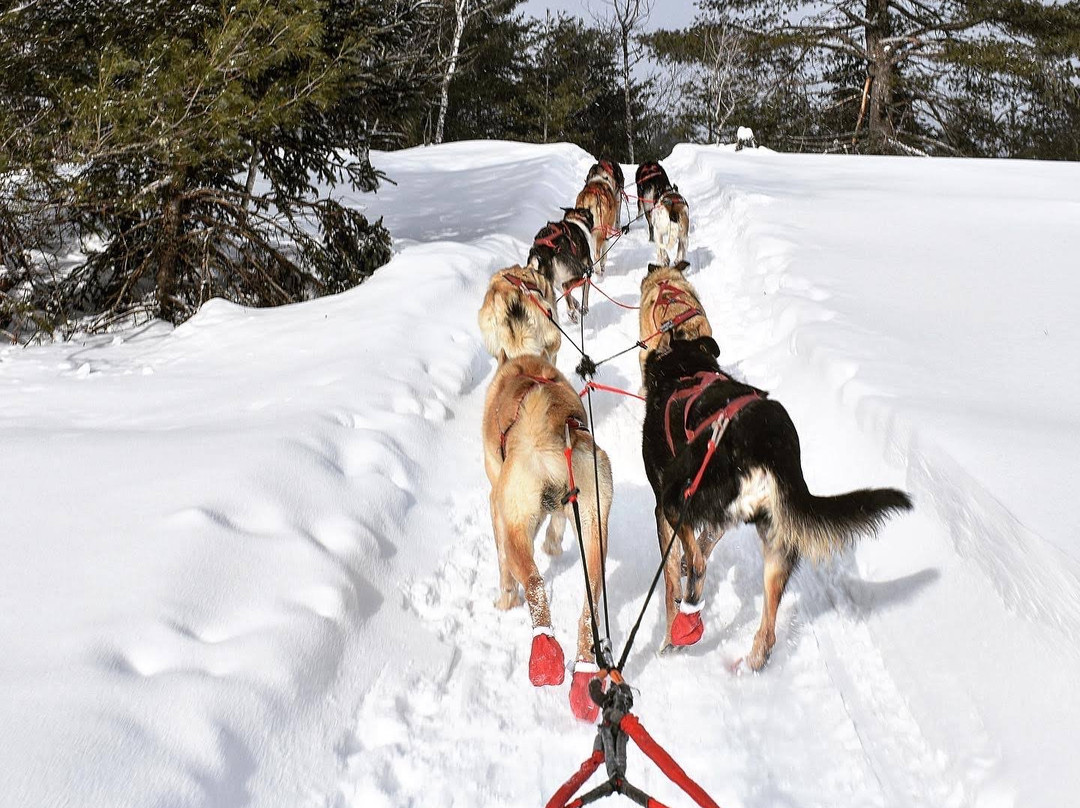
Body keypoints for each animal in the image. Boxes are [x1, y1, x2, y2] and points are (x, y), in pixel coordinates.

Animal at [483, 354, 613, 721]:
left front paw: (505, 600)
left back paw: (544, 656)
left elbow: (503, 569)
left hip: (515, 529)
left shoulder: (496, 507)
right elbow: (556, 524)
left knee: (534, 584)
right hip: (595, 533)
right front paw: (553, 543)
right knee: (588, 609)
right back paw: (583, 674)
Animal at [639, 334, 911, 669]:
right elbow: (705, 540)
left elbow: (670, 579)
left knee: (699, 569)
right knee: (768, 632)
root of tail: (767, 448)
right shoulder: (720, 519)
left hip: (679, 498)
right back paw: (749, 663)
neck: (685, 368)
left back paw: (677, 635)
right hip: (779, 543)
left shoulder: (663, 508)